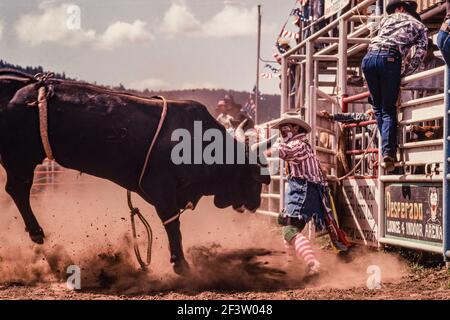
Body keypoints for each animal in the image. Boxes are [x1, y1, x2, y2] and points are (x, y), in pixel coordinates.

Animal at [0, 72, 270, 276]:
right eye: (256, 178)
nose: (256, 204)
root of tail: (21, 87)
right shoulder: (162, 188)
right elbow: (173, 224)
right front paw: (181, 265)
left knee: (16, 190)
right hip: (20, 158)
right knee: (17, 190)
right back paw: (36, 232)